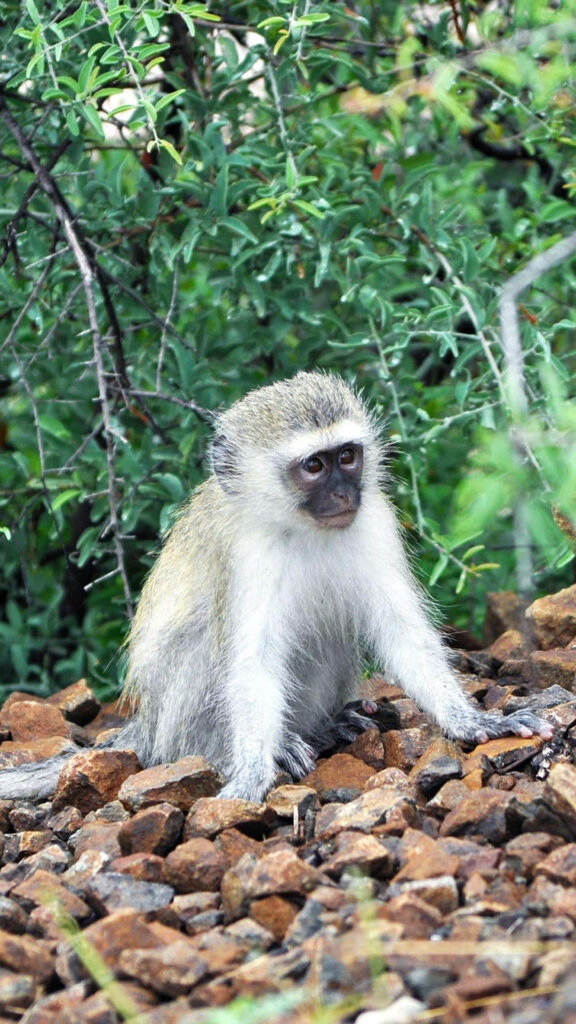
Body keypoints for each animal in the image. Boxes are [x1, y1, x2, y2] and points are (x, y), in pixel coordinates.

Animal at [0, 371, 553, 803]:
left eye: (347, 456)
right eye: (314, 466)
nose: (343, 494)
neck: (301, 528)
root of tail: (150, 725)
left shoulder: (374, 519)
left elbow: (400, 629)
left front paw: (472, 722)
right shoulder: (248, 555)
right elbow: (252, 660)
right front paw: (250, 774)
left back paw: (323, 726)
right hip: (171, 721)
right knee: (206, 649)